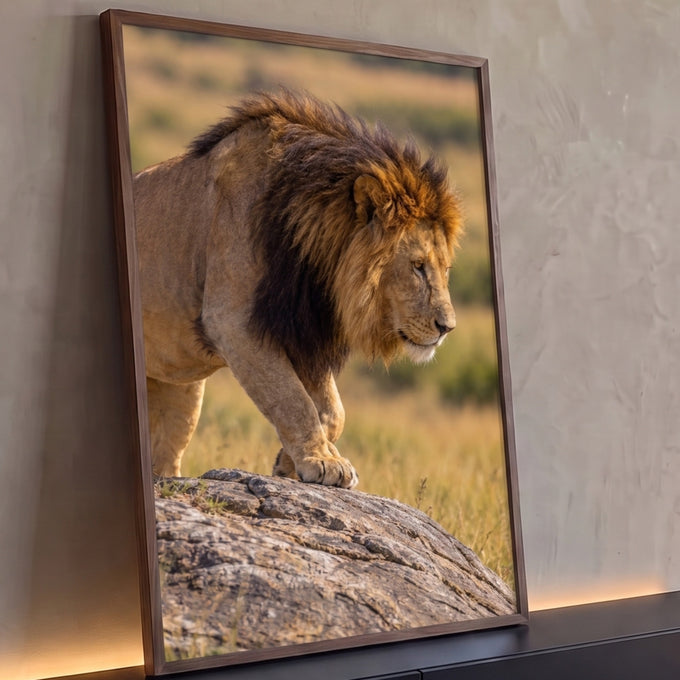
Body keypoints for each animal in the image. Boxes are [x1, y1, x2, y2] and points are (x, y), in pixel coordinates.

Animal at [133, 90, 462, 488]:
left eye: (445, 269)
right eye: (417, 266)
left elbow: (332, 410)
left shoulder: (302, 330)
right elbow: (292, 400)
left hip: (181, 387)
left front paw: (290, 462)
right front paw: (321, 461)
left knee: (167, 455)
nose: (447, 327)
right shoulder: (233, 323)